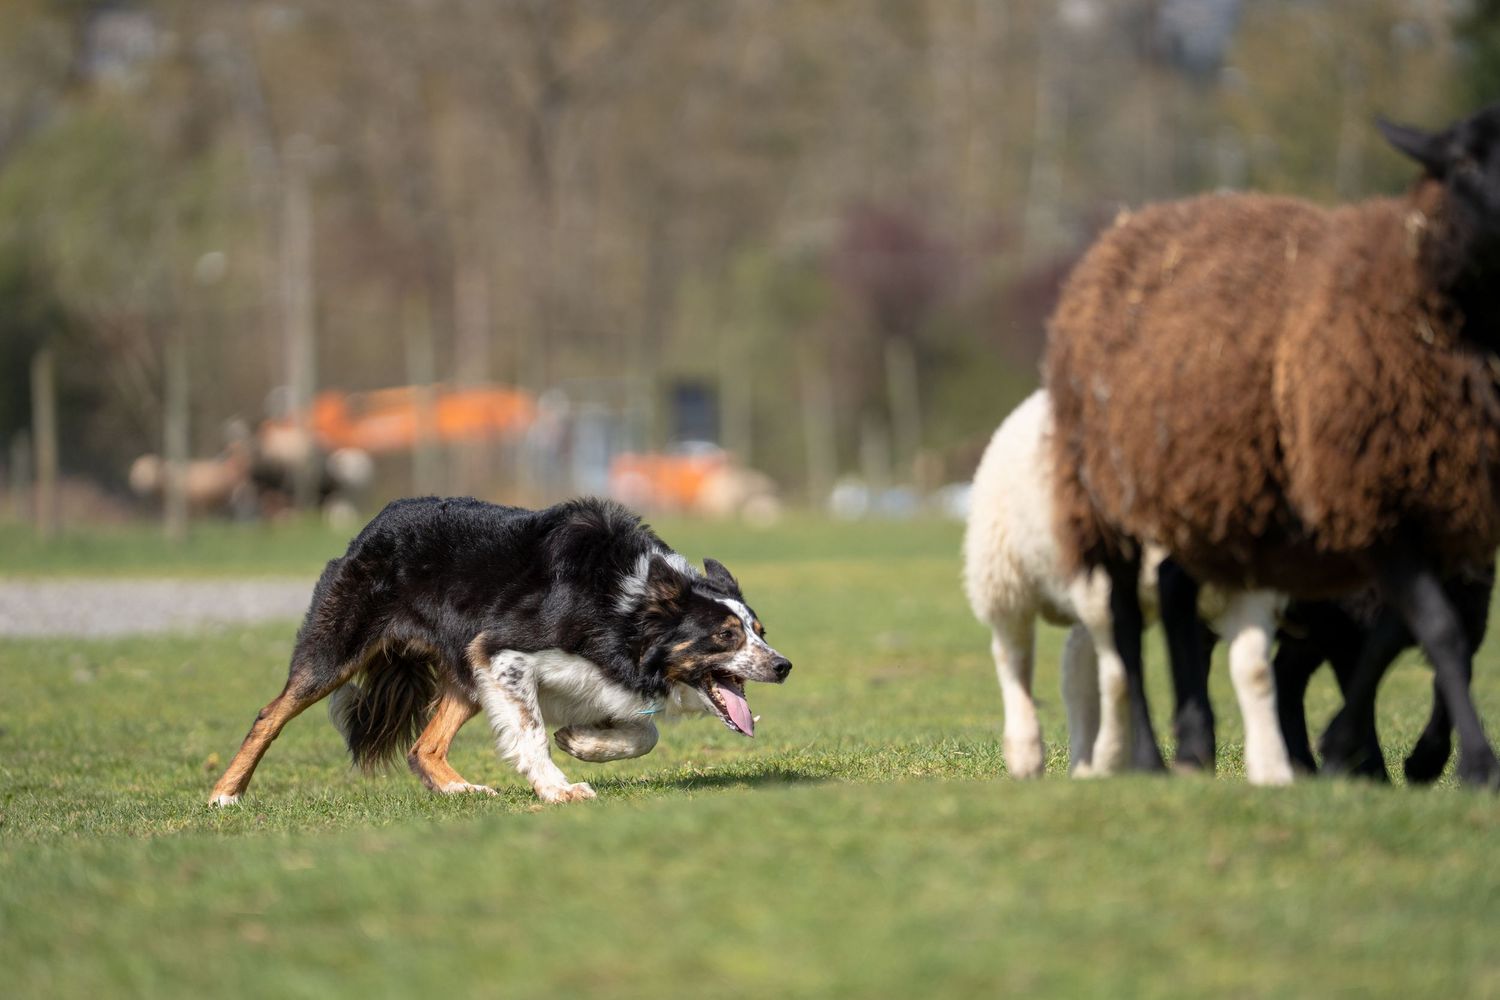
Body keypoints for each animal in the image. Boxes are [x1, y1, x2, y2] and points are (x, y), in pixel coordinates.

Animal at [963, 389, 1292, 783]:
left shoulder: (1247, 590)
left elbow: (1255, 671)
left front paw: (1272, 770)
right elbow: (1121, 677)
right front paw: (1114, 757)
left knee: (1077, 664)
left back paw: (1083, 762)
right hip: (1004, 575)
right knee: (1014, 657)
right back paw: (1026, 753)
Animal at [1044, 104, 1500, 786]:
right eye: (1464, 164)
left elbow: (1431, 641)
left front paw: (1398, 757)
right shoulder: (1373, 518)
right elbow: (1423, 636)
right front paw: (1421, 762)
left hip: (1217, 502)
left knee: (1189, 600)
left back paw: (1214, 745)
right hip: (1113, 497)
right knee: (1129, 624)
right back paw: (1160, 756)